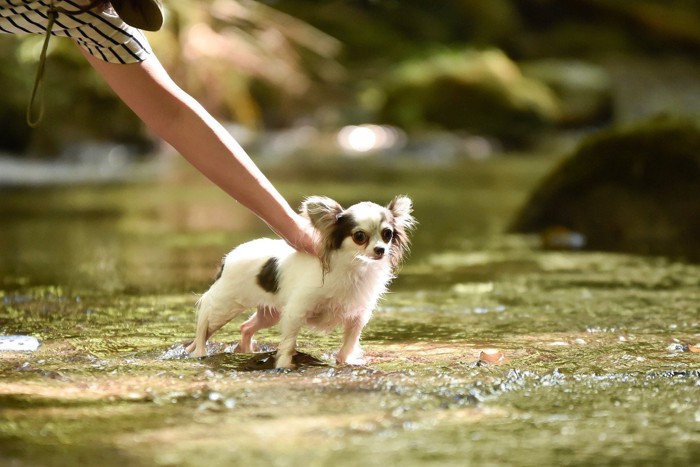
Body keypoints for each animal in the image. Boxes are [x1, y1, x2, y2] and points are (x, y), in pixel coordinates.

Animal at [186, 195, 416, 370]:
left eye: (387, 234)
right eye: (359, 236)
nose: (380, 250)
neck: (355, 269)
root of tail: (228, 258)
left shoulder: (357, 317)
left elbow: (349, 343)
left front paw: (346, 361)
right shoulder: (295, 312)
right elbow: (289, 342)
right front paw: (284, 365)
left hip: (269, 314)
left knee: (245, 326)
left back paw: (245, 350)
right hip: (223, 308)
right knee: (204, 325)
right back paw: (198, 351)